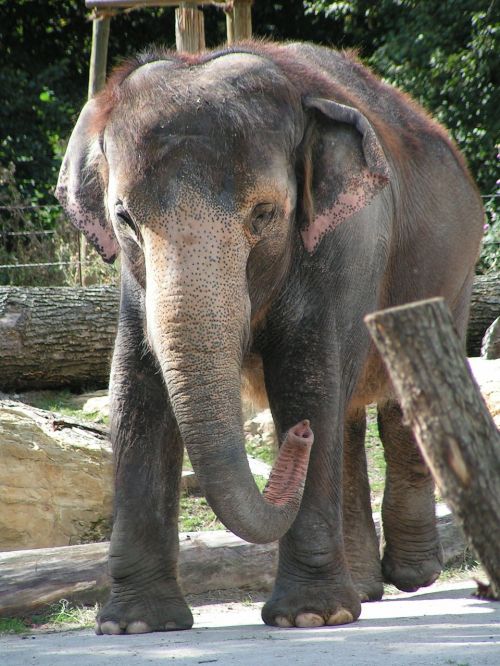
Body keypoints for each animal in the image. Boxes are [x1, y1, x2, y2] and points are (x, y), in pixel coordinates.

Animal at [55, 39, 484, 632]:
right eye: (124, 218)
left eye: (264, 214)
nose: (297, 437)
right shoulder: (133, 284)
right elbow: (134, 392)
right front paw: (136, 625)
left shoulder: (347, 243)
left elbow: (306, 380)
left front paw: (309, 618)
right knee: (347, 419)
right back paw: (365, 588)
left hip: (454, 275)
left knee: (398, 402)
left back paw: (411, 575)